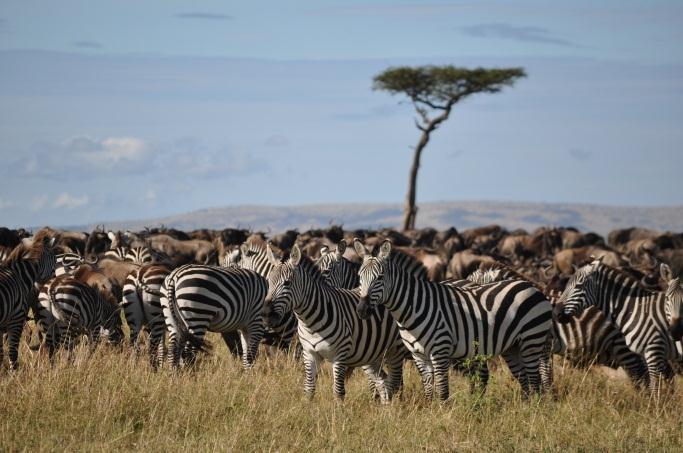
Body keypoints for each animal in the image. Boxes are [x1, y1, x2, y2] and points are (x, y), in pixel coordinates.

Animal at [262, 245, 406, 400]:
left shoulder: (340, 355)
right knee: (382, 380)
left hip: (395, 349)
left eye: (287, 283)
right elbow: (309, 389)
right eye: (268, 282)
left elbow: (338, 391)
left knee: (396, 381)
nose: (265, 314)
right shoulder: (309, 354)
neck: (310, 322)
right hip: (372, 353)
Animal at [356, 238, 552, 398]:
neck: (411, 311)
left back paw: (534, 409)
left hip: (531, 340)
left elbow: (442, 391)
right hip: (512, 347)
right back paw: (523, 407)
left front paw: (442, 415)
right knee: (523, 379)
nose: (362, 310)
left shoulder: (440, 351)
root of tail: (533, 287)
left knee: (535, 379)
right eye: (359, 277)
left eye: (380, 277)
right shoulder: (419, 356)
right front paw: (430, 414)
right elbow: (429, 391)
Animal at [556, 258, 683, 396]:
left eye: (578, 286)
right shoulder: (646, 353)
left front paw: (654, 402)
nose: (556, 313)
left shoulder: (654, 350)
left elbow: (653, 386)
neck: (636, 310)